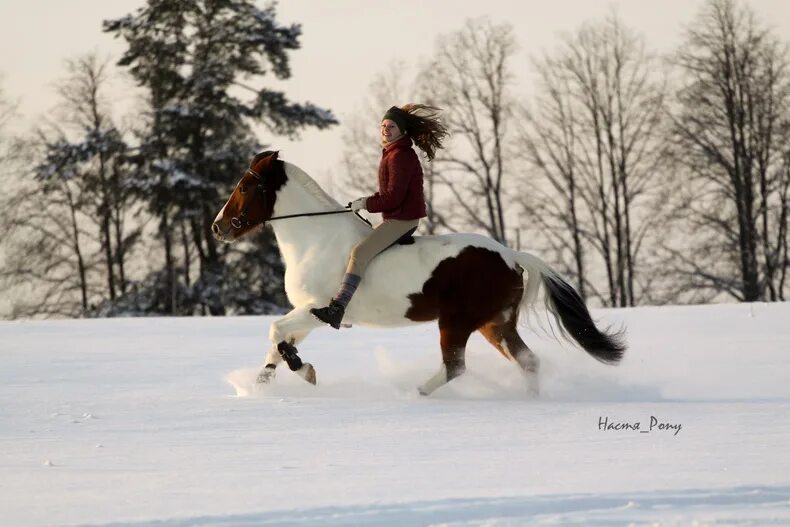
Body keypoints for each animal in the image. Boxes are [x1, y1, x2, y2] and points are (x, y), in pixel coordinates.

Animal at [213, 152, 628, 396]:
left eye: (245, 186)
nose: (218, 227)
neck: (315, 238)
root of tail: (511, 255)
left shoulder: (317, 310)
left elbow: (277, 332)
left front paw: (303, 371)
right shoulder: (305, 313)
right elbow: (279, 341)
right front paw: (266, 382)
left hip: (457, 322)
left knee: (455, 366)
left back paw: (418, 393)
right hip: (496, 324)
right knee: (528, 361)